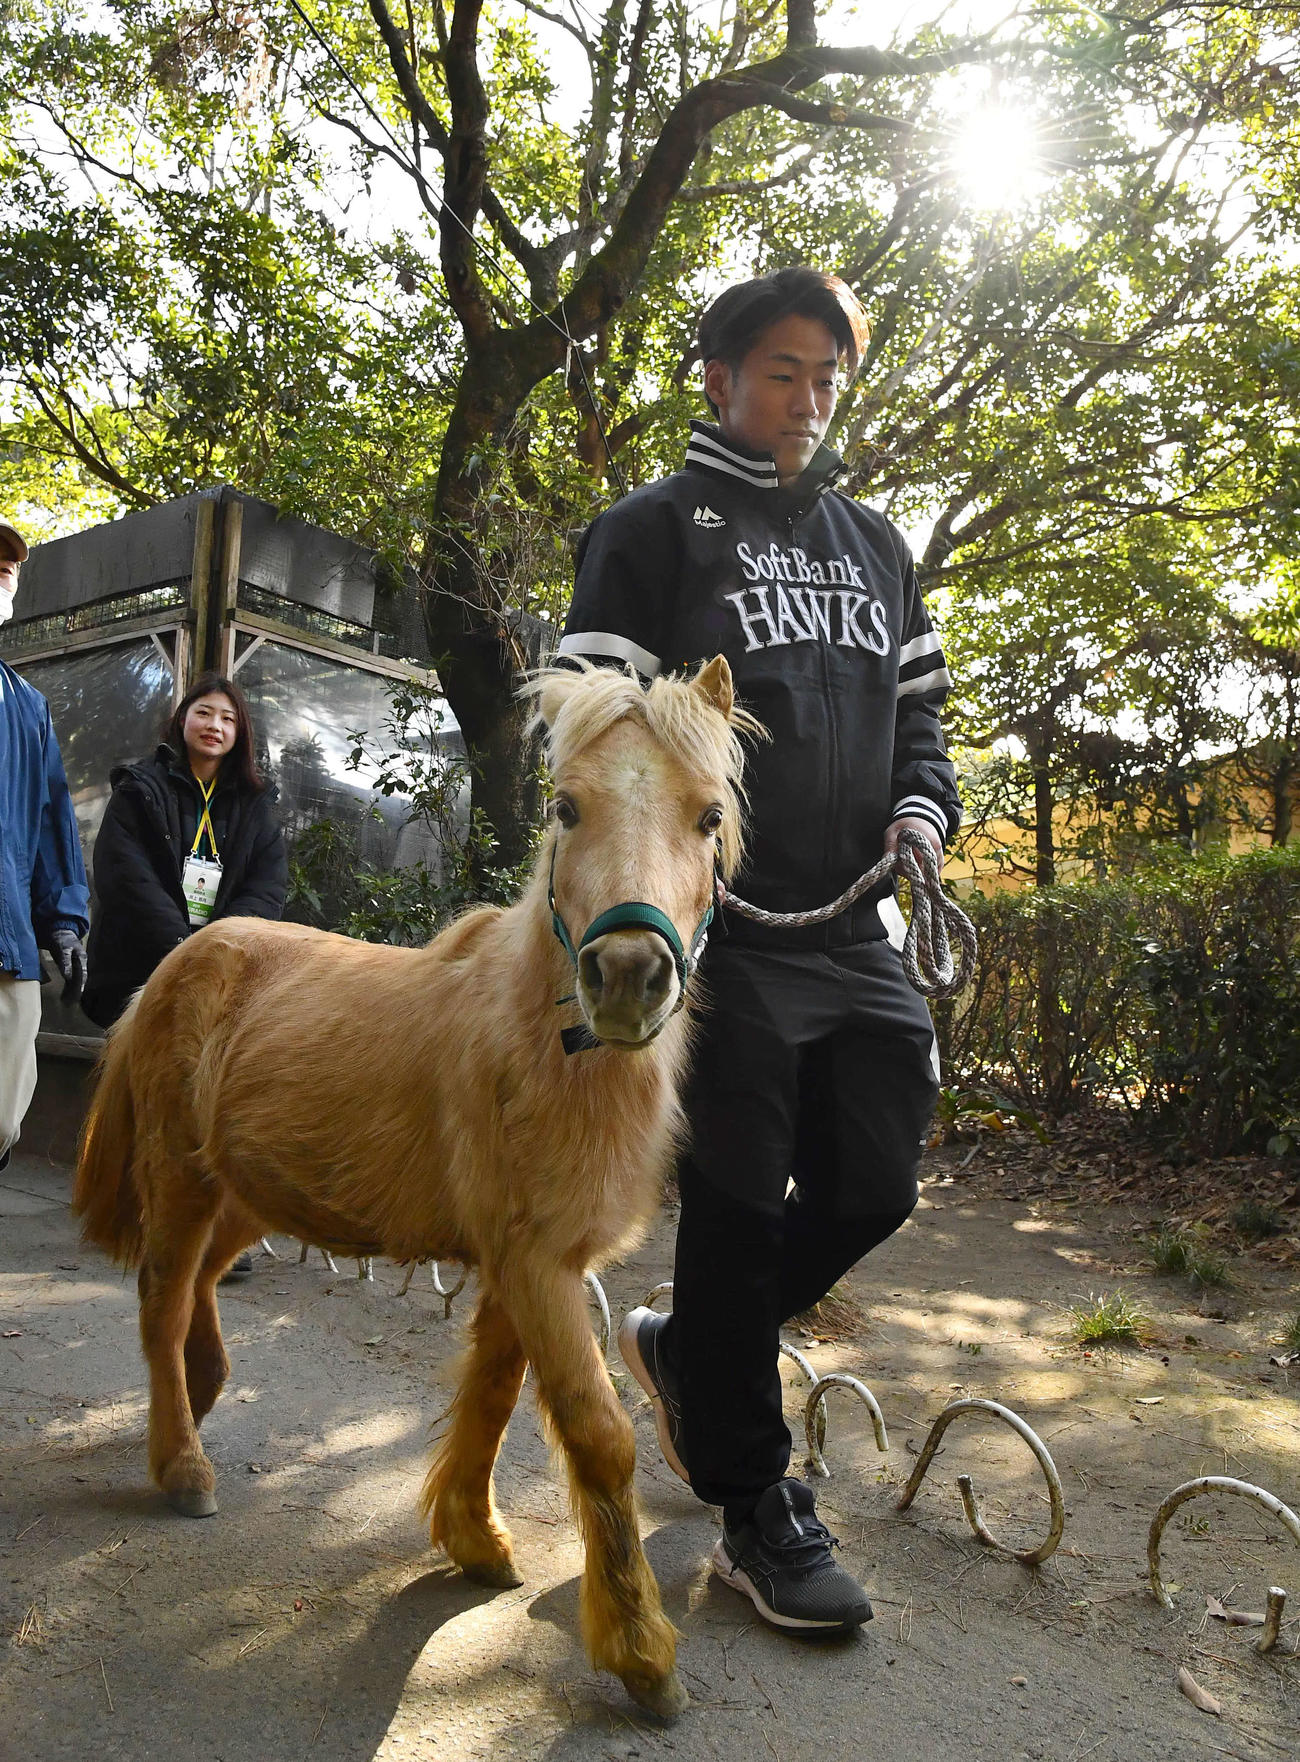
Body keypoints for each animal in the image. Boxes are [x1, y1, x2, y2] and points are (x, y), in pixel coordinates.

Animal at [72, 655, 755, 1719]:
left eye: (708, 816)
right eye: (567, 806)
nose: (627, 976)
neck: (541, 1047)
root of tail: (178, 963)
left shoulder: (532, 1262)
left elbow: (493, 1396)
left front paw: (473, 1539)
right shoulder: (536, 1265)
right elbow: (597, 1436)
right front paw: (642, 1652)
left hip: (248, 1194)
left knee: (198, 1287)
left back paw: (203, 1385)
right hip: (182, 1179)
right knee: (160, 1297)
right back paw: (182, 1462)